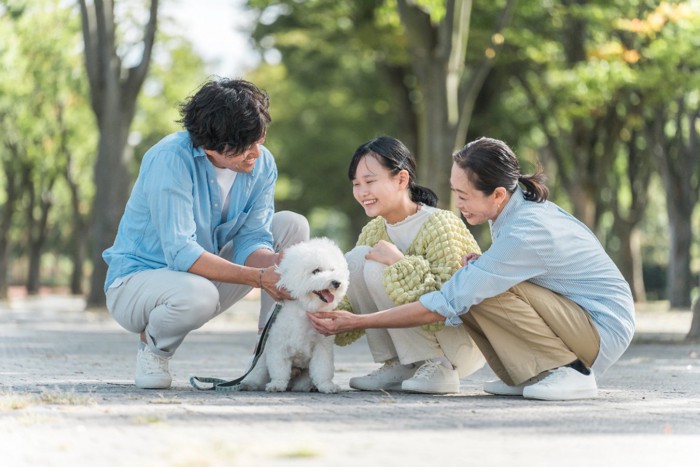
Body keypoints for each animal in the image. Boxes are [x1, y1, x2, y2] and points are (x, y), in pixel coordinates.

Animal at [239, 238, 348, 394]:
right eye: (316, 271)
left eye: (333, 270)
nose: (336, 282)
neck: (303, 308)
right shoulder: (278, 346)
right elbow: (279, 369)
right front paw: (277, 384)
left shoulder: (322, 347)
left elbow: (323, 368)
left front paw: (327, 385)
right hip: (260, 362)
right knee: (255, 374)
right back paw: (248, 384)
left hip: (304, 376)